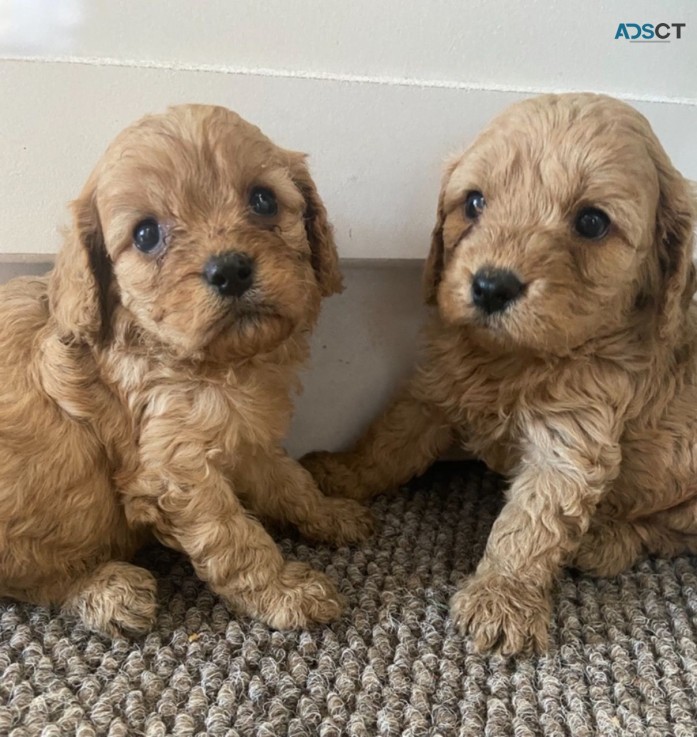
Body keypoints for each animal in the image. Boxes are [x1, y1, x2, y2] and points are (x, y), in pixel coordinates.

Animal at [0, 100, 372, 636]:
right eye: (146, 234)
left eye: (263, 200)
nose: (230, 270)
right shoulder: (176, 468)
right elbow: (235, 539)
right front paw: (286, 591)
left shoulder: (245, 436)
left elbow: (289, 481)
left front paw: (330, 512)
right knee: (33, 583)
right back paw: (106, 590)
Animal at [304, 93, 696, 656]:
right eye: (473, 203)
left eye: (592, 222)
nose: (491, 286)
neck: (513, 359)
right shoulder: (434, 391)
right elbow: (388, 442)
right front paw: (343, 473)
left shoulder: (571, 441)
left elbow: (532, 522)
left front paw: (502, 598)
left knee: (669, 533)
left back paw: (607, 540)